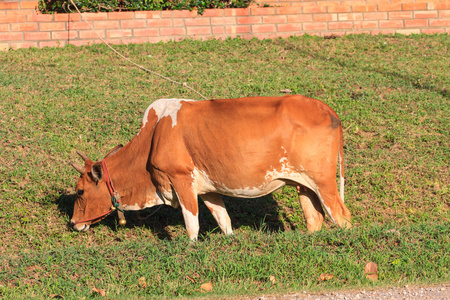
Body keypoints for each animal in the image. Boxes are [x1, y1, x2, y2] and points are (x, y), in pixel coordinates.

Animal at [70, 95, 352, 240]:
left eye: (80, 191)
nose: (73, 223)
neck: (154, 135)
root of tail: (327, 109)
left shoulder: (181, 179)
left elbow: (192, 226)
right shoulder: (209, 190)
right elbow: (223, 220)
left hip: (324, 182)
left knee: (343, 217)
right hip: (304, 185)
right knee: (314, 218)